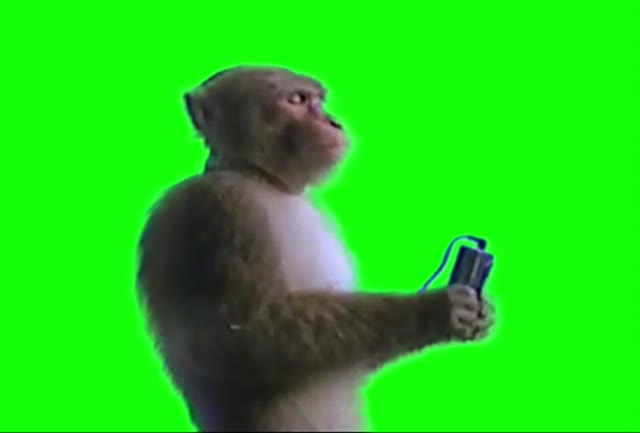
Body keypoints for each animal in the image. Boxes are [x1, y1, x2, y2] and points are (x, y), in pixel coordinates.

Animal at [136, 66, 495, 432]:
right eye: (296, 100)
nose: (333, 122)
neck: (260, 178)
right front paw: (436, 309)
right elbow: (244, 341)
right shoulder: (224, 210)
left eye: (319, 101)